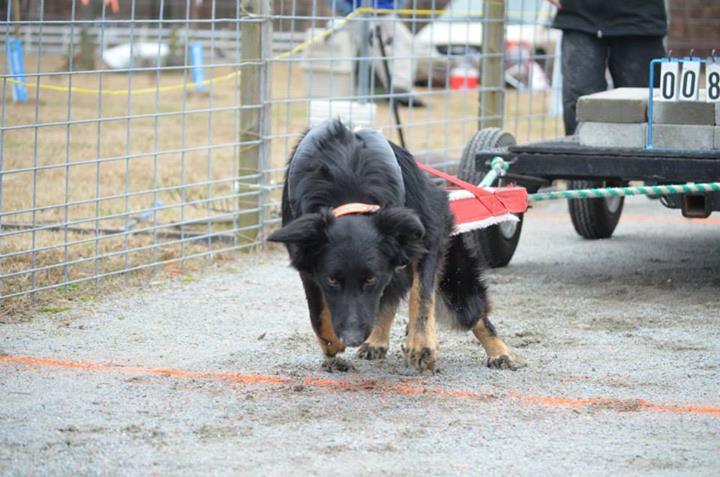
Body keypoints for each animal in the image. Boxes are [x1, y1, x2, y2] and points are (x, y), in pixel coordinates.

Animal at [268, 120, 524, 372]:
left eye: (370, 279)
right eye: (331, 280)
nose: (352, 338)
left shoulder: (429, 234)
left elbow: (422, 297)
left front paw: (421, 345)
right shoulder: (305, 258)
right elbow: (317, 312)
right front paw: (331, 343)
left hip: (456, 286)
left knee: (474, 314)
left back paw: (500, 352)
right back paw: (376, 341)